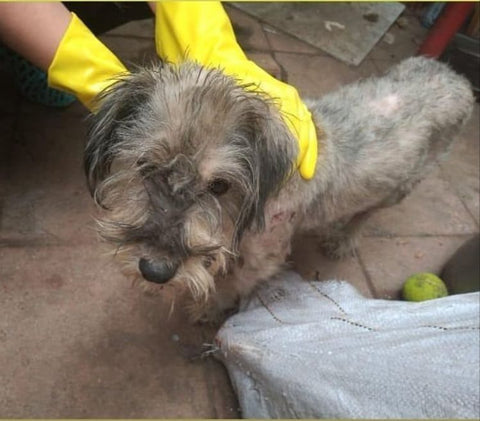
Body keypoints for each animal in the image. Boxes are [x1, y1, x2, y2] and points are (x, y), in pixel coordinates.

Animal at [84, 56, 474, 322]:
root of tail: (457, 77)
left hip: (404, 185)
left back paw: (345, 238)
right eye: (145, 165)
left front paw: (208, 308)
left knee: (368, 212)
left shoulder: (263, 257)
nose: (154, 271)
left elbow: (230, 284)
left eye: (220, 185)